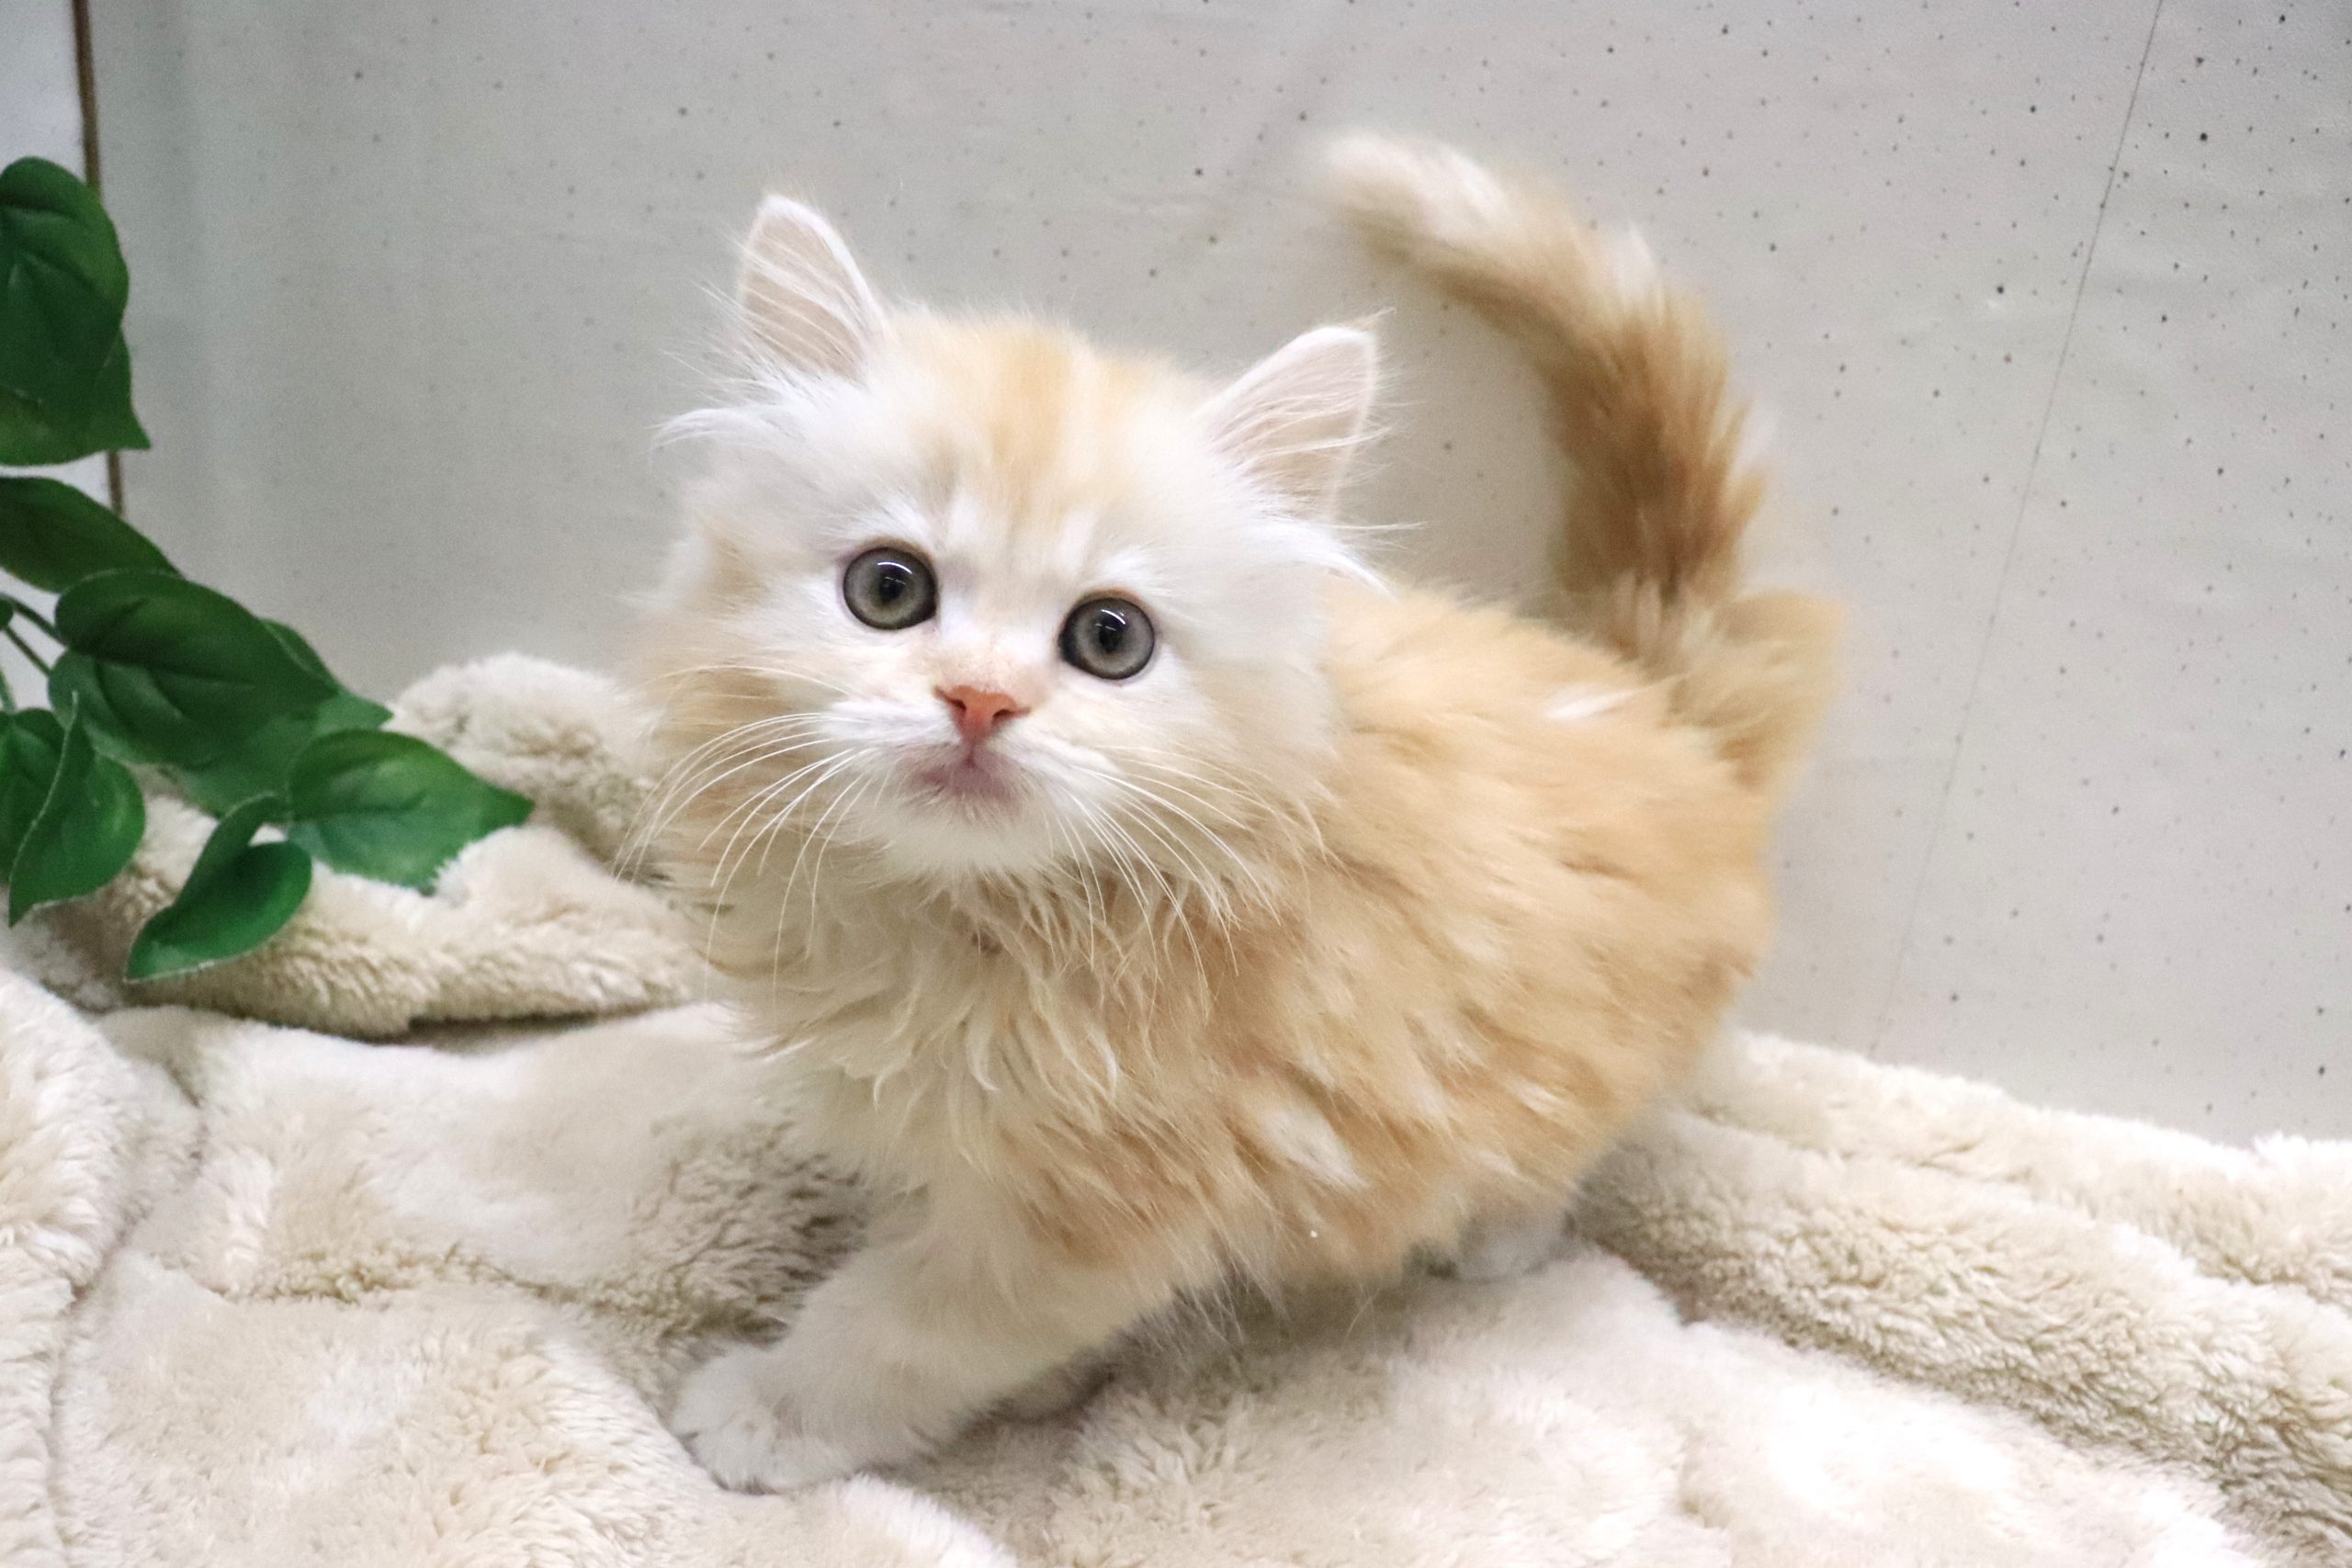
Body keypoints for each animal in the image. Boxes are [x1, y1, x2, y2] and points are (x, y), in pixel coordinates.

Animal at [636, 133, 1840, 1490]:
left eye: (1109, 638)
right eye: (888, 590)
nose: (981, 700)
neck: (976, 926)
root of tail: (1657, 697)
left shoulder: (1094, 1204)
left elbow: (902, 1322)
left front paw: (775, 1411)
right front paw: (1035, 1378)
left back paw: (1495, 1234)